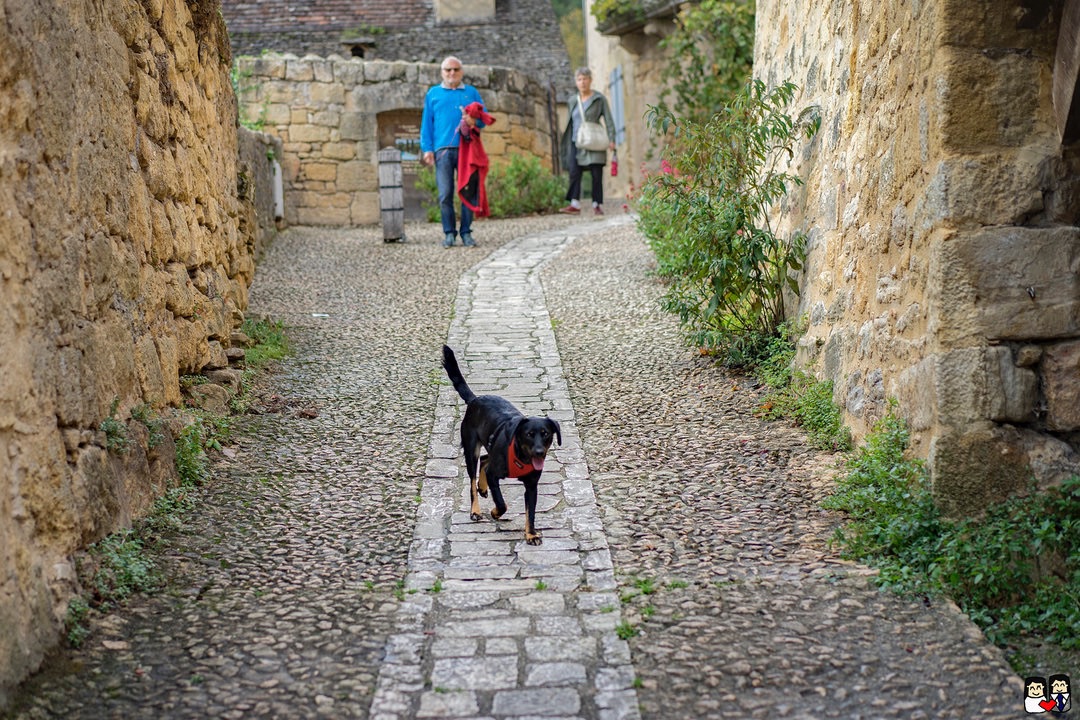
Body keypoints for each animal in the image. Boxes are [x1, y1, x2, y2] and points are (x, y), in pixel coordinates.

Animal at [440, 345, 561, 544]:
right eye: (529, 435)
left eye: (546, 434)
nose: (539, 452)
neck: (521, 457)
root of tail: (475, 400)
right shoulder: (493, 475)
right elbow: (502, 503)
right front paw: (495, 512)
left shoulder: (531, 485)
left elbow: (531, 513)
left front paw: (531, 534)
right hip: (470, 450)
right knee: (473, 478)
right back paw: (475, 510)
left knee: (484, 458)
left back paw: (482, 488)